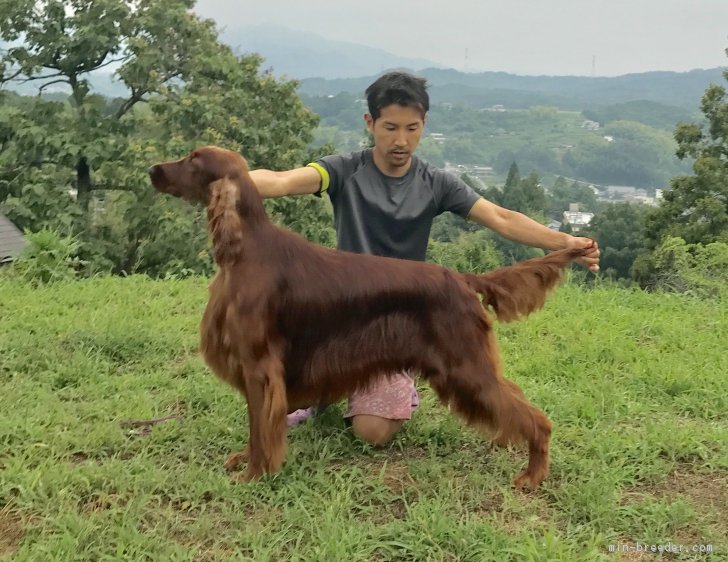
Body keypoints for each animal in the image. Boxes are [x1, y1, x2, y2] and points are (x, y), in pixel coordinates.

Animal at [149, 144, 592, 486]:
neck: (245, 250)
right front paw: (246, 461)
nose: (153, 170)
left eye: (193, 159)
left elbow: (261, 427)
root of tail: (464, 279)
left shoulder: (260, 366)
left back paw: (532, 475)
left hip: (465, 366)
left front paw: (256, 473)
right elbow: (255, 425)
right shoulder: (255, 370)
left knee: (536, 417)